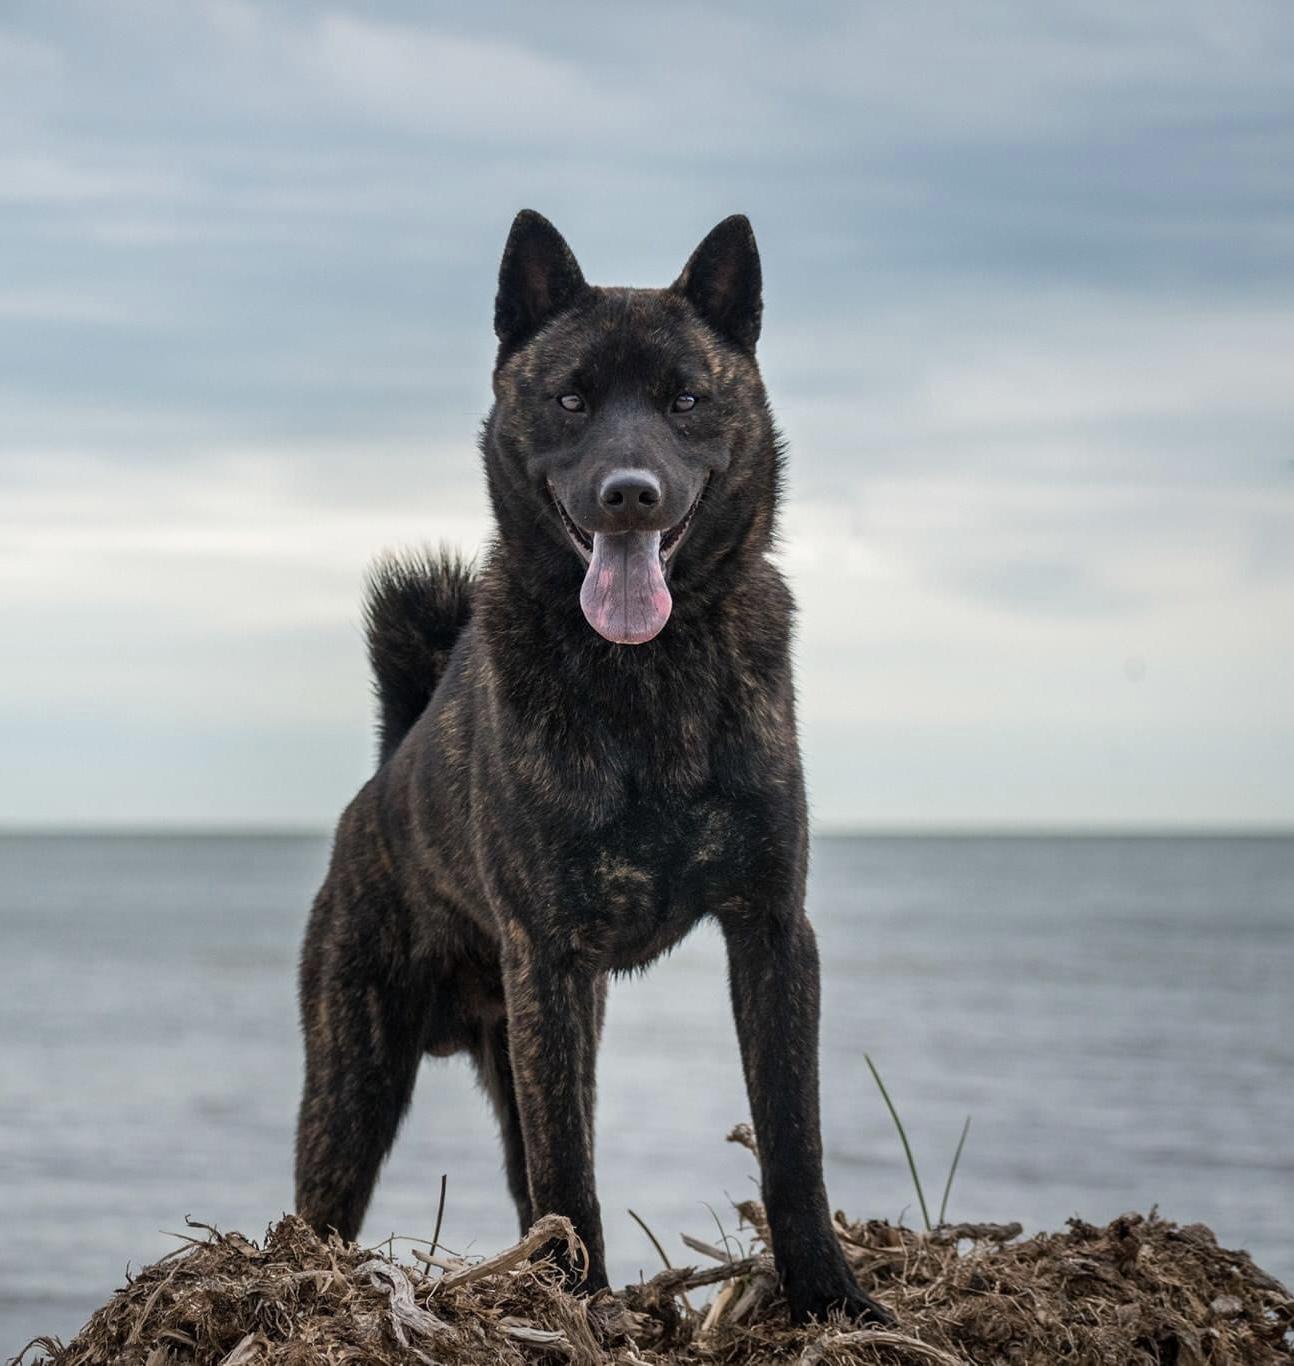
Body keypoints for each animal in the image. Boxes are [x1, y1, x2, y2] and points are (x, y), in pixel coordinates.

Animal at [294, 210, 892, 1325]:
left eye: (686, 398)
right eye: (571, 397)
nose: (629, 495)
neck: (646, 676)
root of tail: (385, 774)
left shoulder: (772, 931)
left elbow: (794, 1141)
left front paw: (831, 1298)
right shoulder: (551, 966)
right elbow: (571, 1172)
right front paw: (582, 1310)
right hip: (356, 1076)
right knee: (325, 1209)